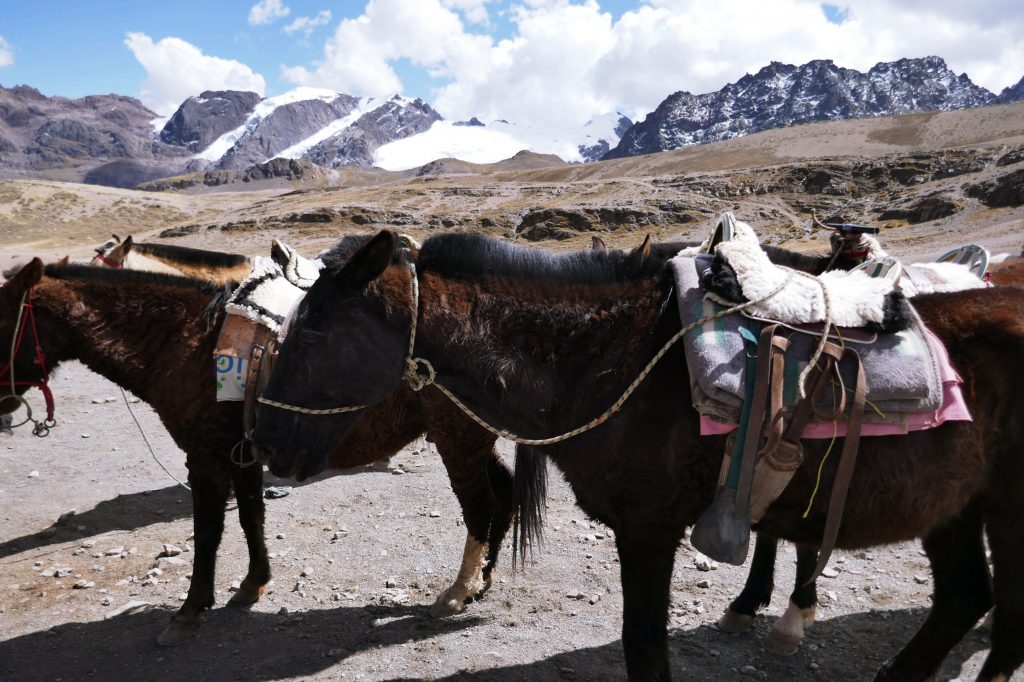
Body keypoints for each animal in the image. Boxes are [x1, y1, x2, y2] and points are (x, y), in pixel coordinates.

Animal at [0, 258, 515, 647]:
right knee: (504, 494)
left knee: (481, 505)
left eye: (3, 321)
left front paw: (188, 612)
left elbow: (208, 532)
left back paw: (457, 593)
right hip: (473, 436)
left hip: (456, 437)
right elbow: (251, 516)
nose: (3, 404)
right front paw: (253, 583)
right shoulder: (241, 453)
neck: (185, 342)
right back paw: (482, 582)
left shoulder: (205, 456)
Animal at [252, 230, 1024, 682]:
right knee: (967, 601)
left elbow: (645, 649)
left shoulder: (649, 532)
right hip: (957, 509)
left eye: (314, 331)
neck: (608, 356)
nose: (260, 444)